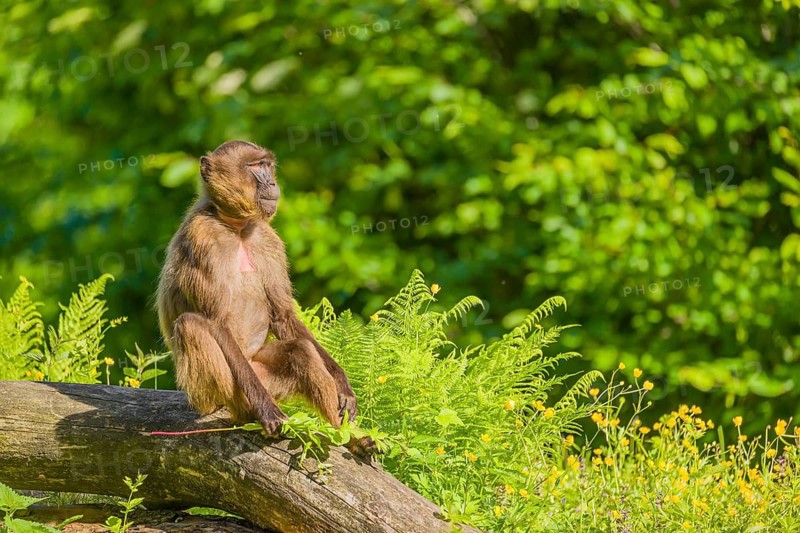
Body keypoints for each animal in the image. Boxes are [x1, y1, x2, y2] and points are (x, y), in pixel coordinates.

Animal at [157, 140, 374, 454]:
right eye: (255, 167)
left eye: (268, 166)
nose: (271, 182)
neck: (235, 229)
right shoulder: (202, 237)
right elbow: (216, 322)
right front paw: (268, 413)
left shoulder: (267, 239)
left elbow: (283, 316)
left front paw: (343, 386)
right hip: (231, 390)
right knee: (191, 324)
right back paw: (252, 413)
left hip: (265, 378)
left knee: (301, 351)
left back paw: (350, 437)